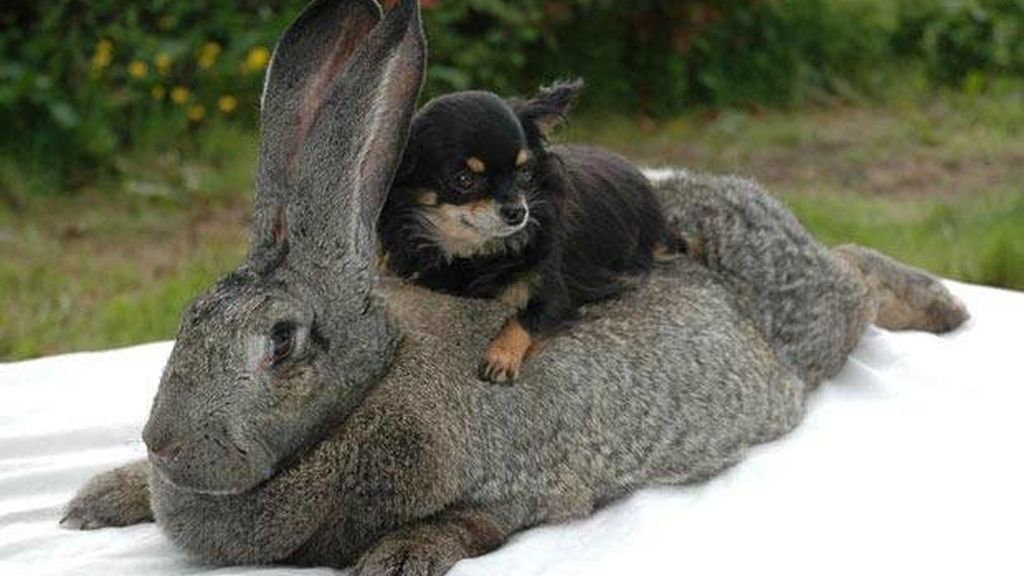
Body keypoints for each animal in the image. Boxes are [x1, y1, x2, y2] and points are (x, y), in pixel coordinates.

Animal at [61, 0, 969, 575]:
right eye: (186, 322)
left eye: (280, 344)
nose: (162, 444)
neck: (372, 384)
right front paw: (101, 498)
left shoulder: (520, 485)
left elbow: (476, 521)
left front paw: (400, 556)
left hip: (813, 315)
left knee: (854, 272)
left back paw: (945, 307)